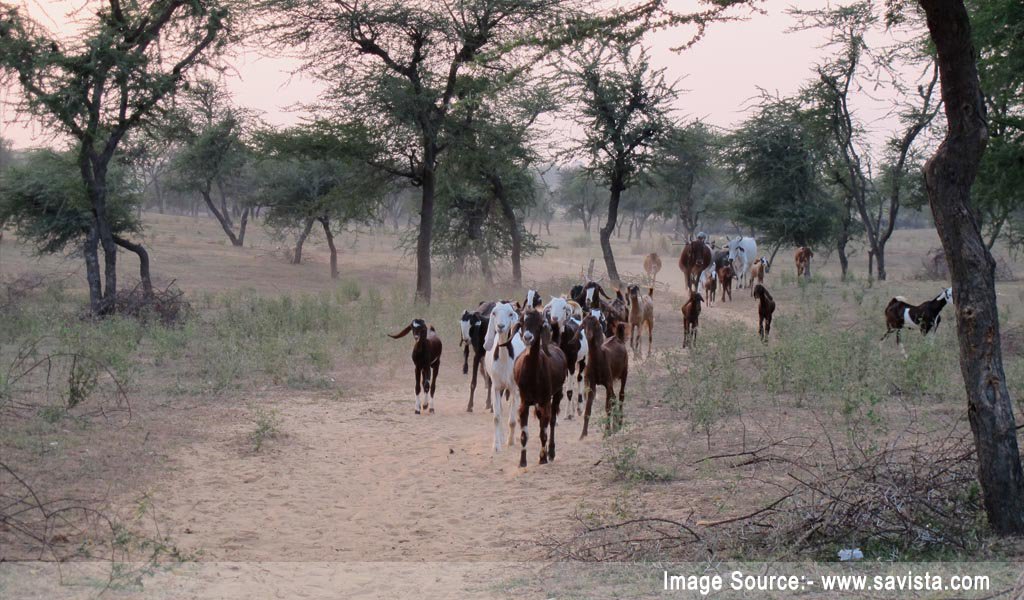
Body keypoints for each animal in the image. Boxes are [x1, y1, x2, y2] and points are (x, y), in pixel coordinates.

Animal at [512, 305, 569, 464]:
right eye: (522, 322)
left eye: (538, 324)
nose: (528, 337)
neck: (533, 375)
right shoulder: (524, 402)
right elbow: (524, 434)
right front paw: (522, 462)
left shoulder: (545, 400)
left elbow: (544, 431)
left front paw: (543, 458)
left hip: (556, 394)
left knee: (552, 421)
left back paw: (551, 452)